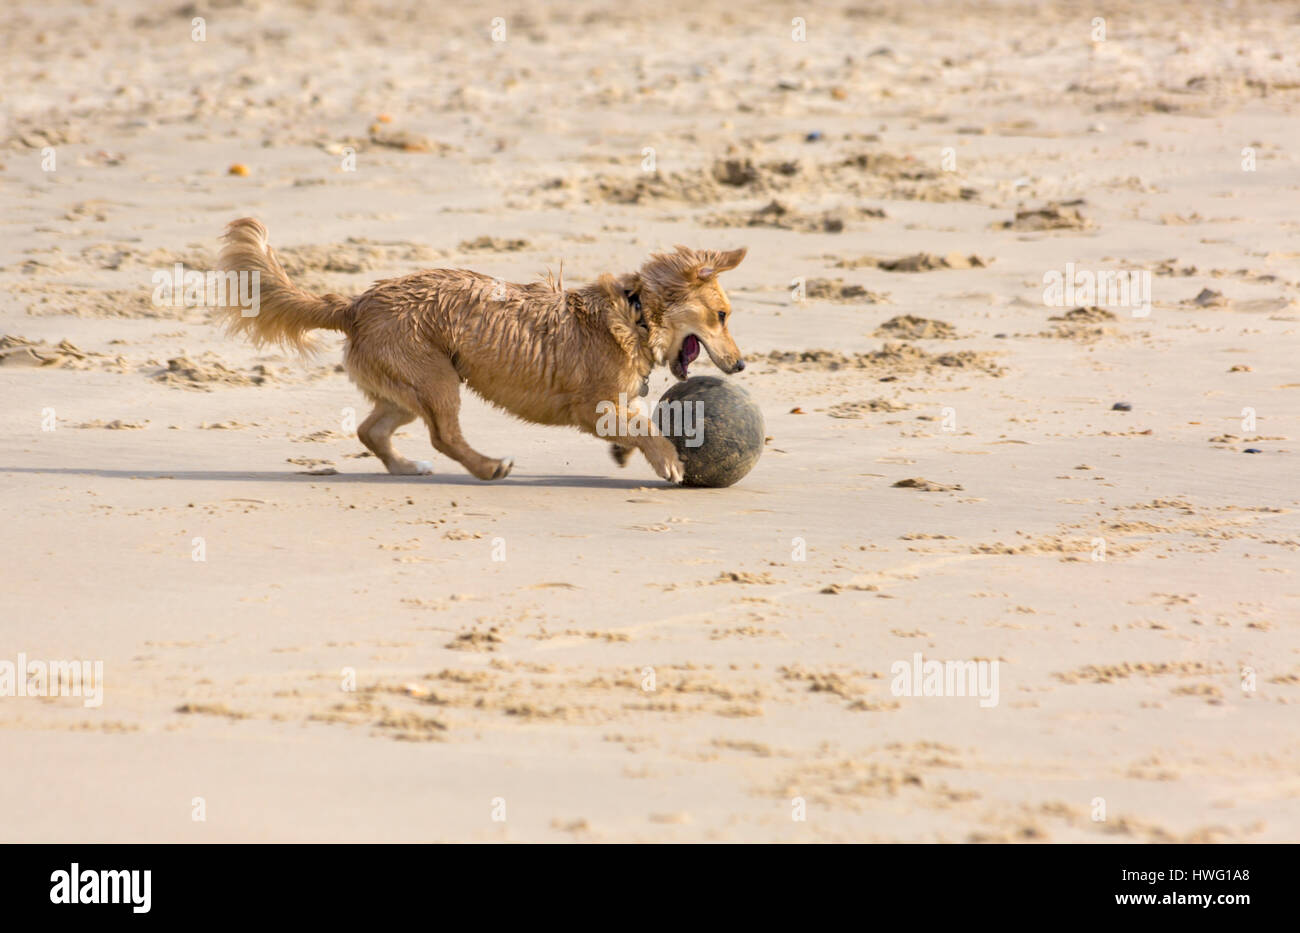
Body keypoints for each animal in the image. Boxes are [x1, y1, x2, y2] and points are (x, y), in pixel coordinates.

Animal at [210, 219, 743, 483]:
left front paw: (625, 451)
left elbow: (633, 425)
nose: (740, 365)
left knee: (370, 430)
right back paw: (487, 467)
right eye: (722, 315)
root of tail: (357, 303)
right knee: (444, 437)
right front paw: (668, 460)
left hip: (408, 390)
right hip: (438, 381)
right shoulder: (593, 408)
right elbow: (646, 427)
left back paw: (406, 468)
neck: (634, 314)